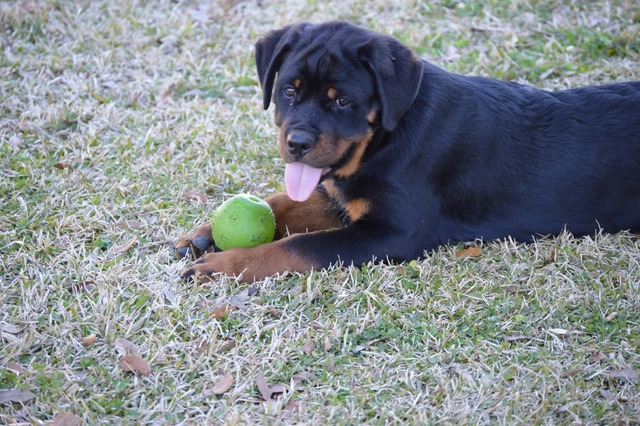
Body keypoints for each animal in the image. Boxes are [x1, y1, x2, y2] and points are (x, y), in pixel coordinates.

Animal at [178, 20, 640, 282]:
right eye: (289, 91)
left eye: (342, 102)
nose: (297, 144)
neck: (385, 140)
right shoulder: (347, 199)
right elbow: (282, 204)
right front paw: (204, 234)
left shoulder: (392, 232)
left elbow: (295, 247)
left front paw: (226, 264)